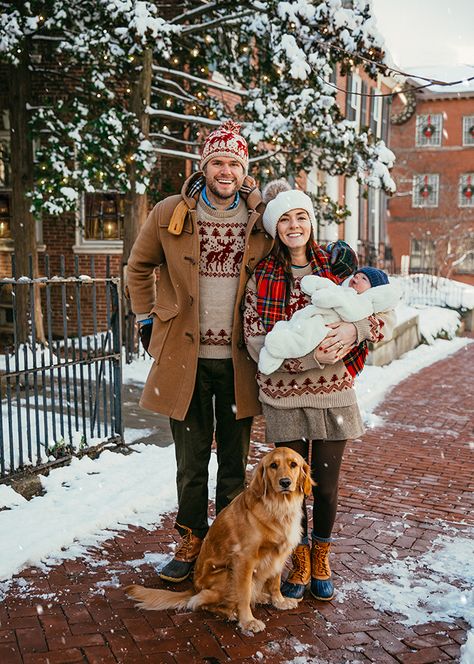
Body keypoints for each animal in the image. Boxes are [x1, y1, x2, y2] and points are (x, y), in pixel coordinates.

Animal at [124, 446, 312, 632]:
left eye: (293, 464)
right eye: (273, 465)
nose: (285, 482)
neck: (278, 506)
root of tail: (193, 588)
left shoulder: (279, 553)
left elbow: (275, 582)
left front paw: (279, 601)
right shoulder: (245, 559)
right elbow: (244, 594)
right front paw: (248, 621)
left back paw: (260, 598)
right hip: (227, 574)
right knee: (202, 603)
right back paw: (230, 613)